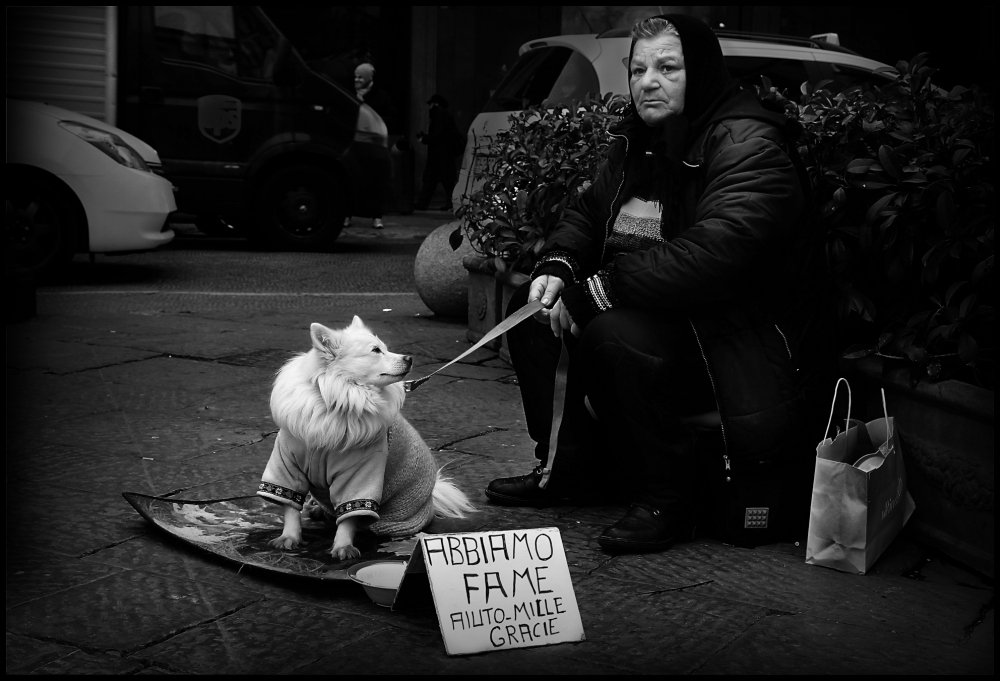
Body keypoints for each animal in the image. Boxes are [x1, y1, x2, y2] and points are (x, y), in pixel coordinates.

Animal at [258, 316, 476, 560]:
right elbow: (290, 507)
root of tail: (430, 500)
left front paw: (343, 546)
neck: (338, 399)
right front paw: (289, 537)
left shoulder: (361, 473)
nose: (409, 358)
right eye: (375, 350)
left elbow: (350, 515)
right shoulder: (287, 462)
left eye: (385, 348)